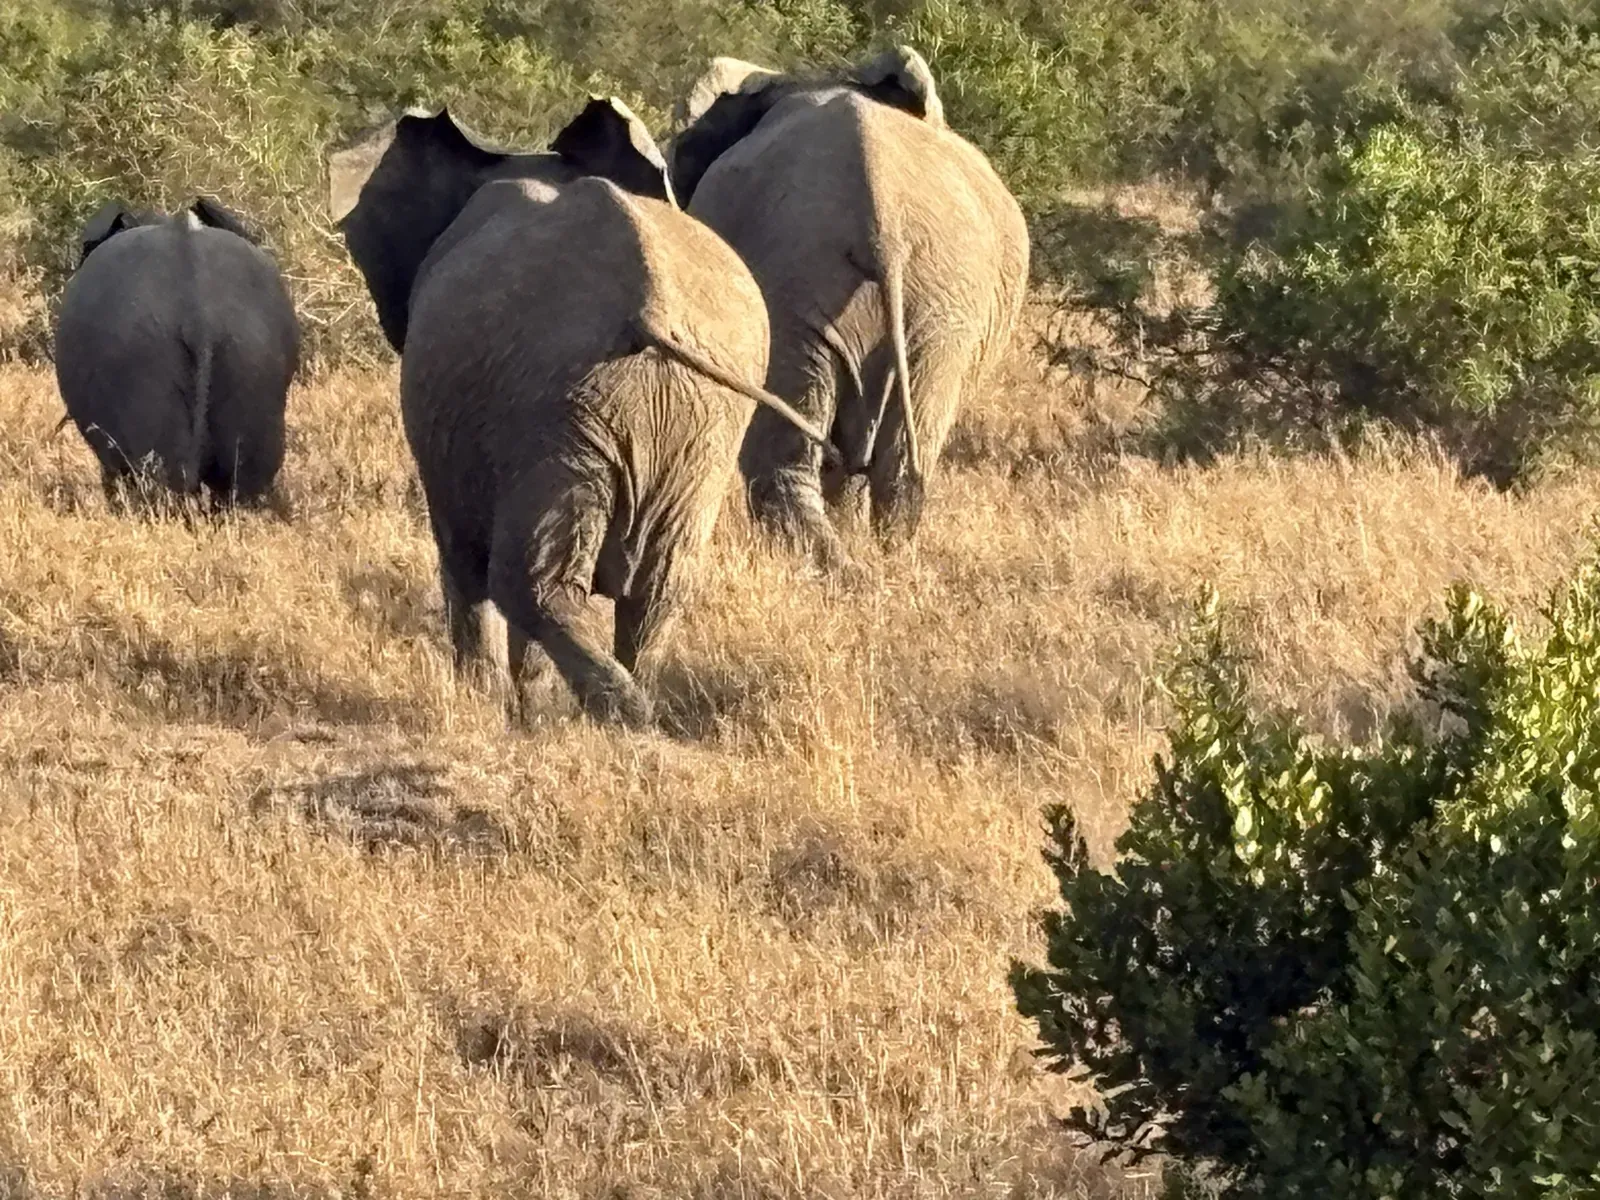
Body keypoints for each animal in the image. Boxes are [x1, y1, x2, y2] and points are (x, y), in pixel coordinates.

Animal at [327, 97, 841, 727]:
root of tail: (648, 306)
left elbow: (462, 560)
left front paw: (486, 704)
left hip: (561, 407)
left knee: (529, 582)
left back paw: (619, 713)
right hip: (689, 417)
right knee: (661, 583)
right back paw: (635, 706)